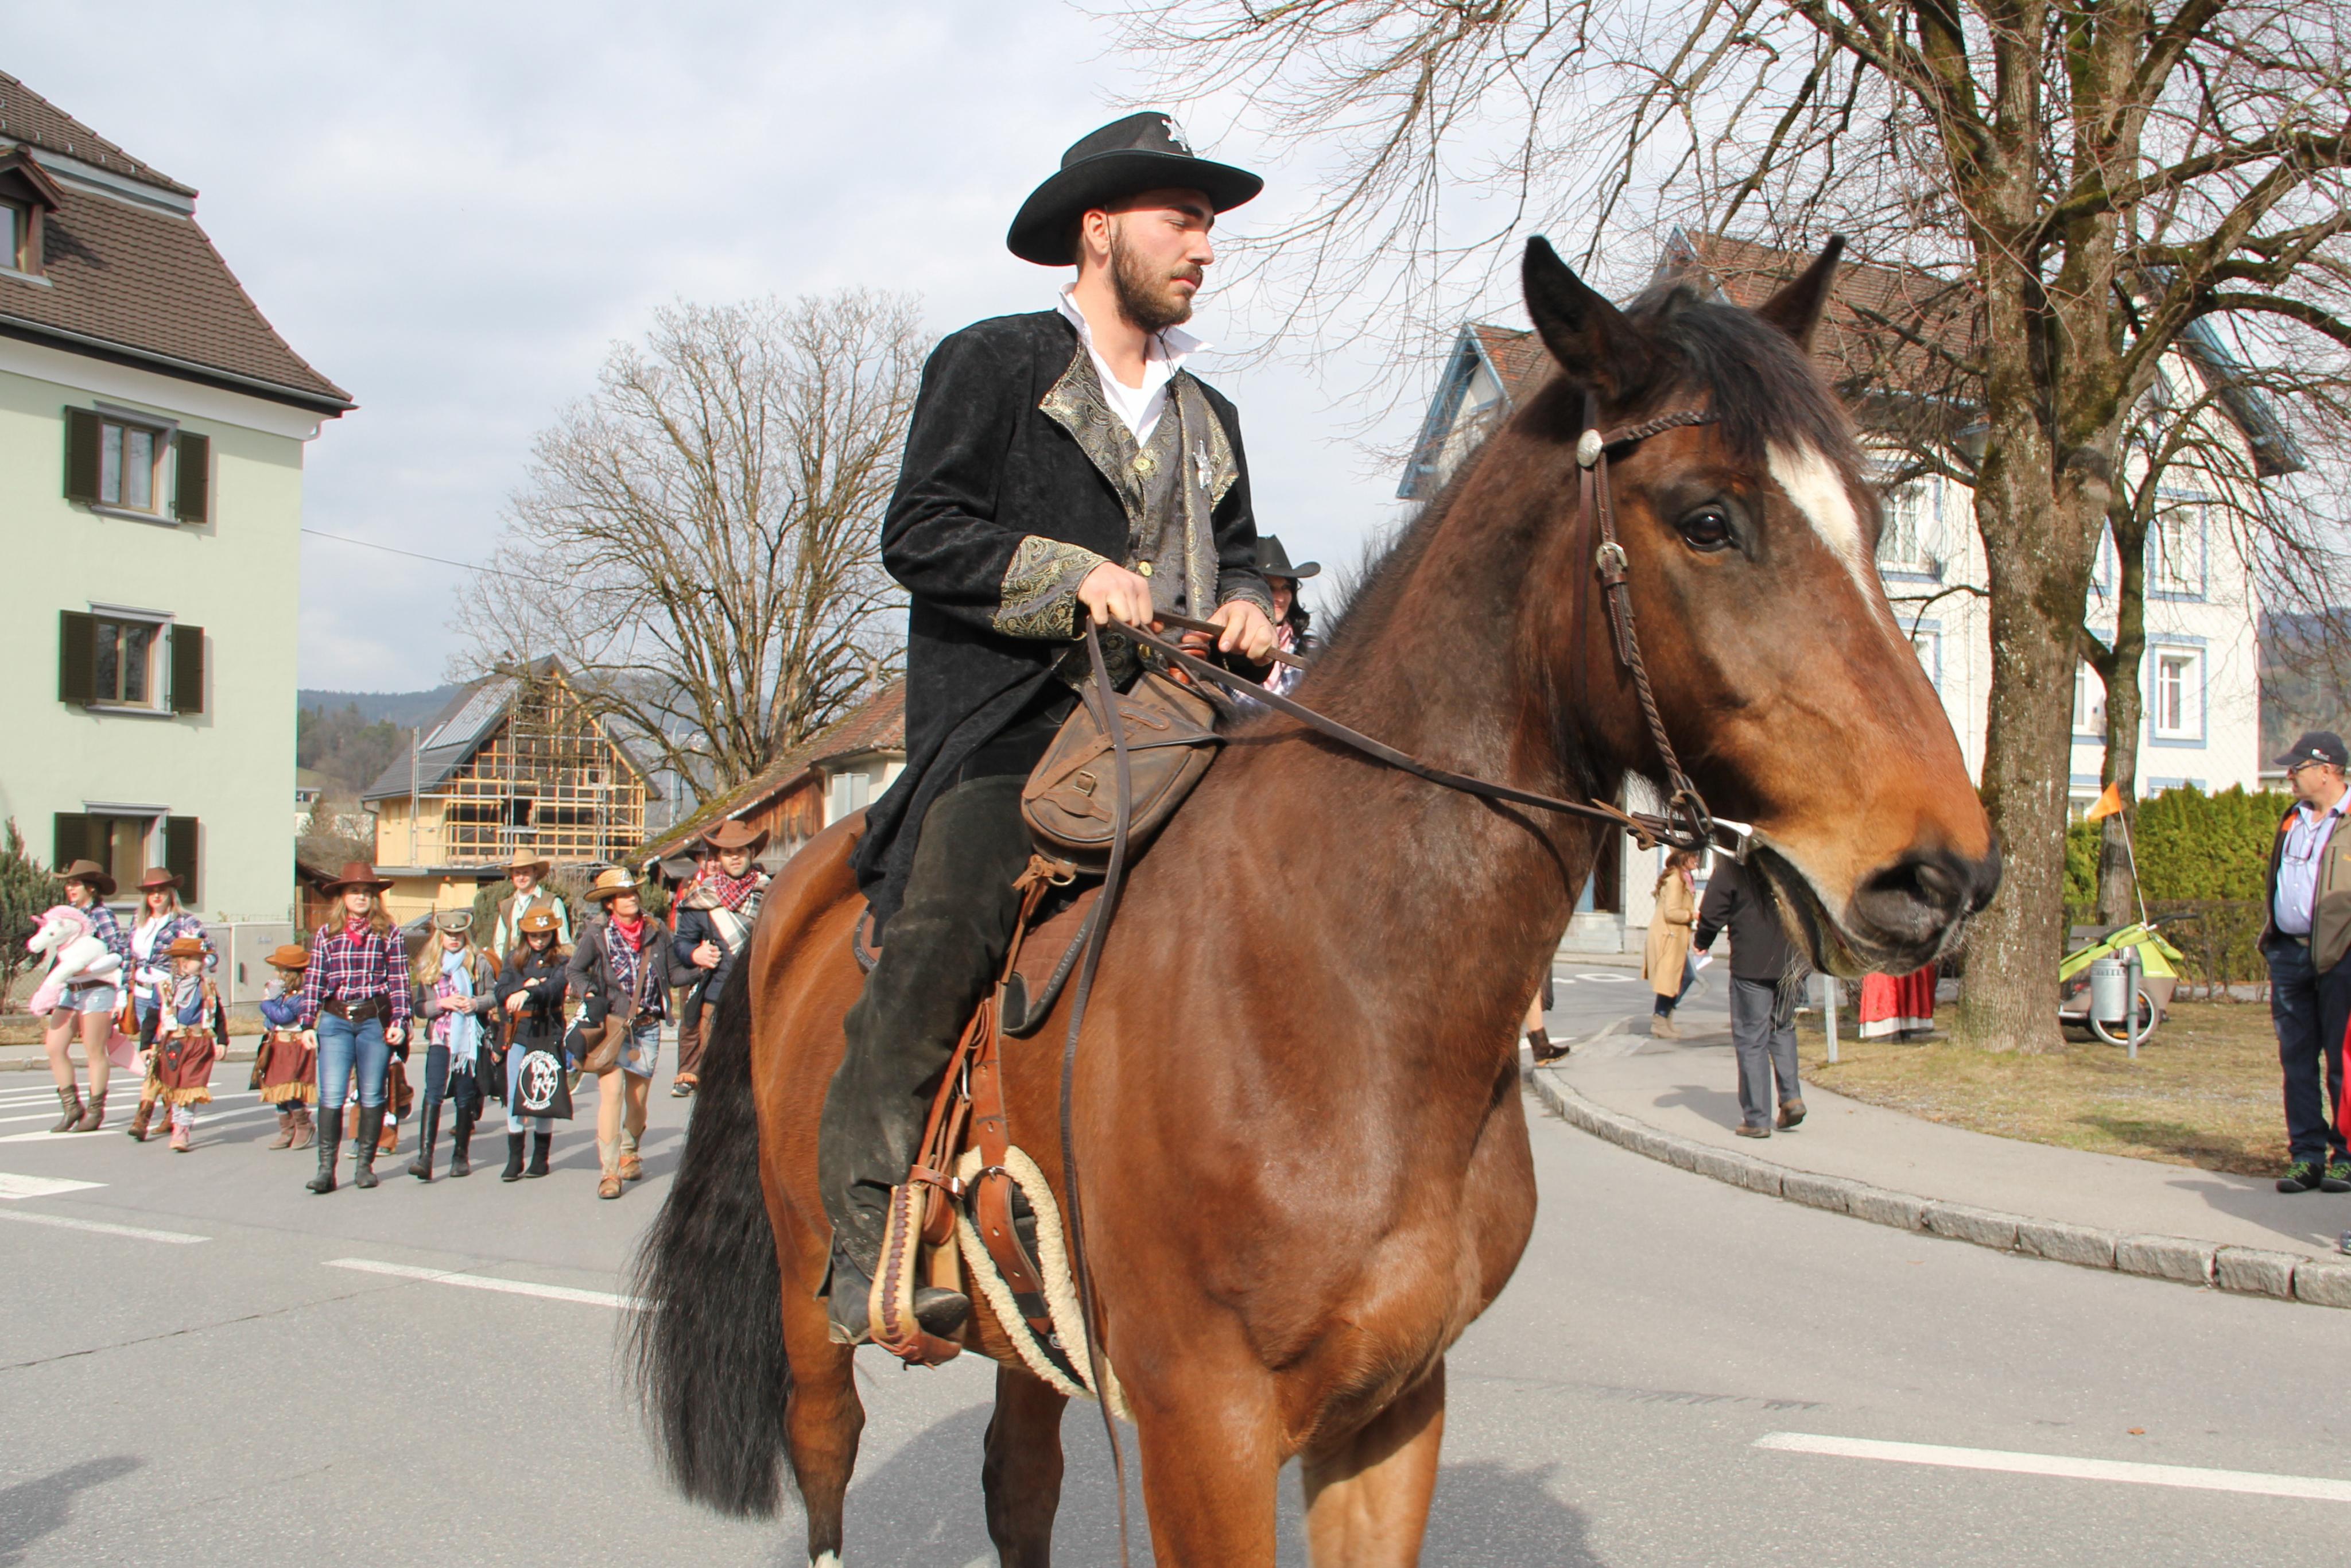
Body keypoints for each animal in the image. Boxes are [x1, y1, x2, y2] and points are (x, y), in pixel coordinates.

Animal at [631, 236, 2001, 1566]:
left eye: (1872, 511)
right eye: (1707, 518)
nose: (1947, 871)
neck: (1346, 986)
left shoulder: (1393, 1407)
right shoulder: (1205, 1432)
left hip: (1033, 1335)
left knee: (1016, 1486)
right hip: (812, 1309)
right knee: (825, 1460)